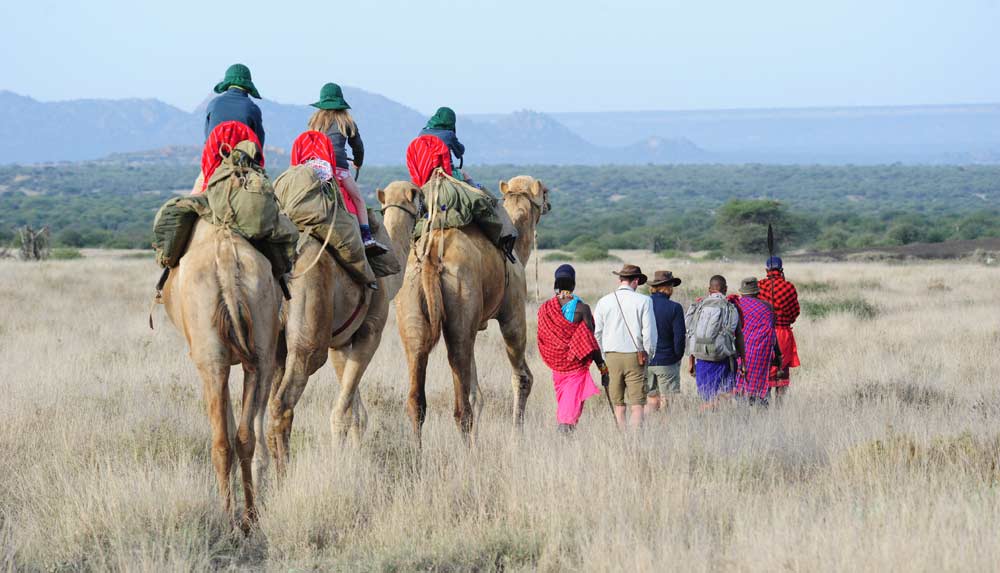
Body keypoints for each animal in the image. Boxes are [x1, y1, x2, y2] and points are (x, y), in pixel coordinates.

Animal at [160, 218, 280, 528]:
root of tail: (225, 262)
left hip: (211, 360)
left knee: (221, 442)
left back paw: (228, 518)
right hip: (262, 351)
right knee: (245, 437)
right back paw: (250, 518)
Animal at [266, 180, 418, 474]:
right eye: (420, 197)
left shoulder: (340, 342)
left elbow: (355, 411)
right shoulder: (370, 332)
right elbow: (342, 411)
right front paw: (342, 462)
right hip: (309, 336)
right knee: (283, 401)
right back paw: (282, 473)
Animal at [392, 174, 552, 442]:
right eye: (545, 191)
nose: (549, 204)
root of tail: (432, 254)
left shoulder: (475, 325)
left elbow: (476, 392)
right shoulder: (514, 310)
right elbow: (522, 377)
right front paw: (516, 438)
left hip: (410, 304)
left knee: (417, 392)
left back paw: (416, 449)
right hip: (461, 300)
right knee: (461, 406)